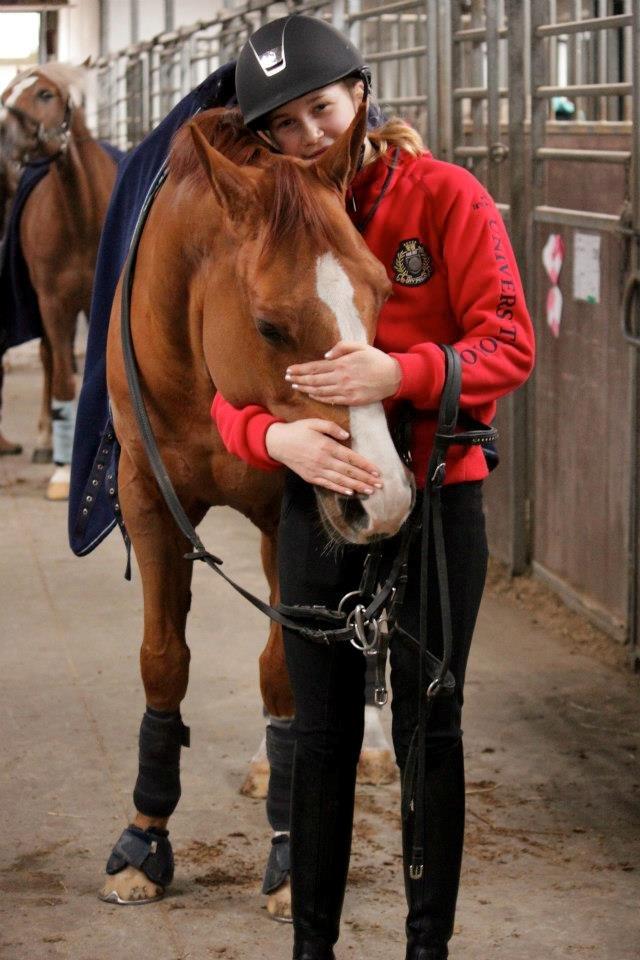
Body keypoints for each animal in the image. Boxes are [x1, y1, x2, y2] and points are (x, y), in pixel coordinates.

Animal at [0, 65, 119, 502]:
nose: (4, 138)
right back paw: (45, 443)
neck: (80, 213)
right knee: (53, 361)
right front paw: (62, 473)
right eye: (7, 94)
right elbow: (65, 382)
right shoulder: (53, 304)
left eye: (45, 94)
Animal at [102, 105, 412, 908]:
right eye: (270, 326)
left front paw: (289, 854)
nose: (383, 494)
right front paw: (145, 840)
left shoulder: (287, 519)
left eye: (381, 294)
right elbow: (162, 661)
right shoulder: (147, 501)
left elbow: (281, 670)